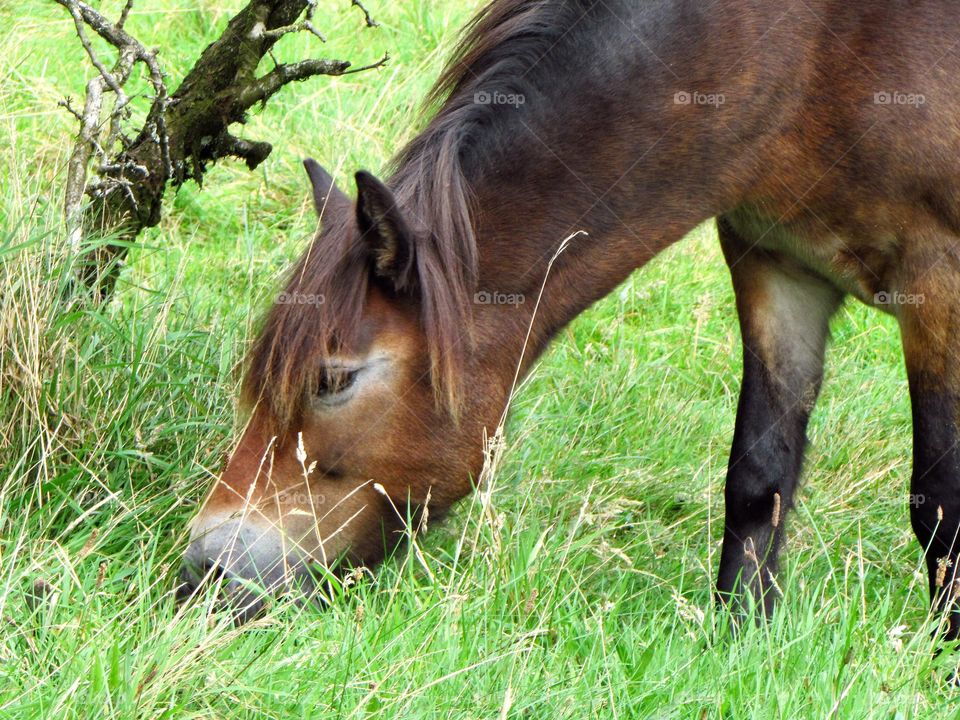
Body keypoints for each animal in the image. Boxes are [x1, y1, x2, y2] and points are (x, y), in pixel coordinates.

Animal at [178, 0, 960, 632]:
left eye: (335, 379)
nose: (205, 571)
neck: (810, 47)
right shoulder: (777, 267)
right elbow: (758, 477)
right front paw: (742, 637)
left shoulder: (939, 286)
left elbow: (940, 503)